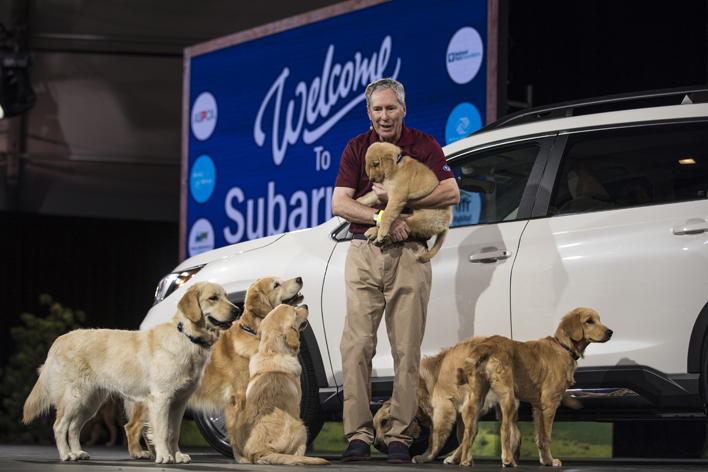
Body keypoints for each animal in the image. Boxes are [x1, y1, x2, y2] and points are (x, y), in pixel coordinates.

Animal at [22, 282, 238, 462]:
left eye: (226, 297)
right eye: (213, 298)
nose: (237, 310)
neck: (187, 337)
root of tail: (61, 338)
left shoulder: (179, 402)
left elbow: (173, 432)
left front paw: (177, 455)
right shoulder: (161, 399)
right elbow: (161, 431)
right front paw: (164, 456)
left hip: (90, 403)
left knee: (74, 427)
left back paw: (78, 452)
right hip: (74, 398)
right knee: (59, 426)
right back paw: (66, 454)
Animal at [124, 274, 302, 460]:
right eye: (276, 285)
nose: (299, 278)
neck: (257, 333)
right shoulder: (240, 396)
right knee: (132, 426)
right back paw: (139, 452)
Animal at [454, 308, 612, 466]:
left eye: (599, 319)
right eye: (589, 321)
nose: (610, 332)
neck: (564, 347)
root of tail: (488, 344)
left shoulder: (538, 407)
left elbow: (540, 436)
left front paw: (545, 460)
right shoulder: (549, 403)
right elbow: (546, 436)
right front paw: (550, 461)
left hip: (477, 398)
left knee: (469, 430)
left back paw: (465, 461)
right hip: (508, 396)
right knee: (504, 429)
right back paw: (508, 460)